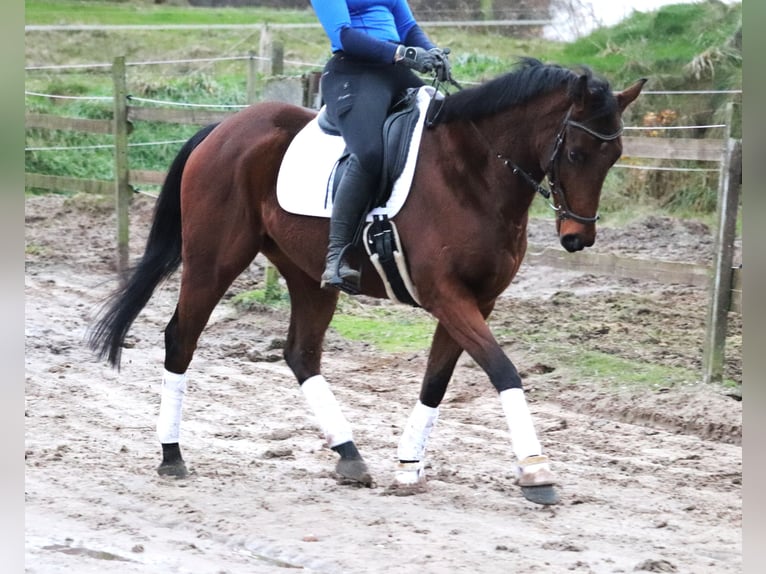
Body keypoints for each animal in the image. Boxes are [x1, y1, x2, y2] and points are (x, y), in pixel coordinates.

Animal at [88, 58, 648, 506]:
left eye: (614, 155)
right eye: (575, 154)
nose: (578, 238)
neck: (473, 174)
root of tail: (224, 127)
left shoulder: (477, 301)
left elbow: (437, 381)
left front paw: (408, 466)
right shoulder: (447, 296)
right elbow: (504, 371)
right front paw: (536, 472)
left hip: (309, 277)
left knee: (301, 354)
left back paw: (350, 455)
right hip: (213, 262)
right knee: (181, 338)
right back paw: (171, 454)